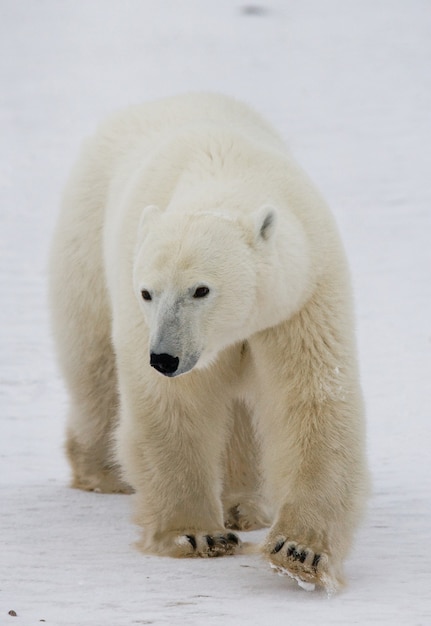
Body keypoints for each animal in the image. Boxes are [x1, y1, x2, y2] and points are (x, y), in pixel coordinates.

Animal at [49, 92, 368, 588]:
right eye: (148, 291)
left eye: (201, 289)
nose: (164, 357)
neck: (226, 172)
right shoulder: (142, 307)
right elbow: (173, 405)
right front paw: (197, 535)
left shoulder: (300, 296)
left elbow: (310, 398)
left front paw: (300, 551)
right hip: (86, 241)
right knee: (94, 366)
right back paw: (102, 472)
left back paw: (244, 505)